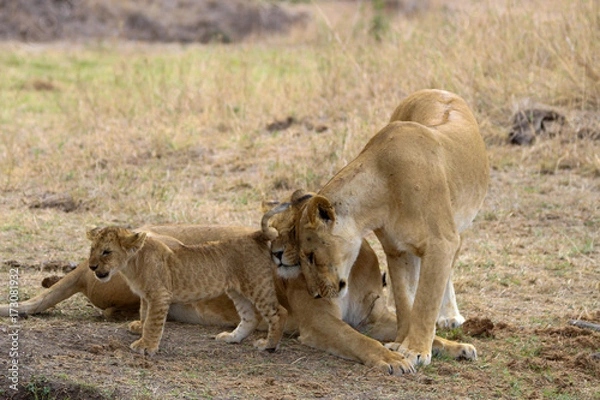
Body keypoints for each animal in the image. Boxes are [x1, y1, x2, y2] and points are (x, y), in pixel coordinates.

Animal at [85, 205, 290, 354]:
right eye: (92, 249)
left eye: (106, 252)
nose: (91, 266)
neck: (132, 264)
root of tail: (254, 235)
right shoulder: (146, 296)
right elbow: (144, 313)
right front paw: (140, 328)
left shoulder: (160, 295)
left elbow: (153, 321)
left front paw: (146, 346)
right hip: (237, 291)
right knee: (251, 317)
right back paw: (232, 338)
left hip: (257, 285)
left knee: (279, 312)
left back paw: (269, 345)